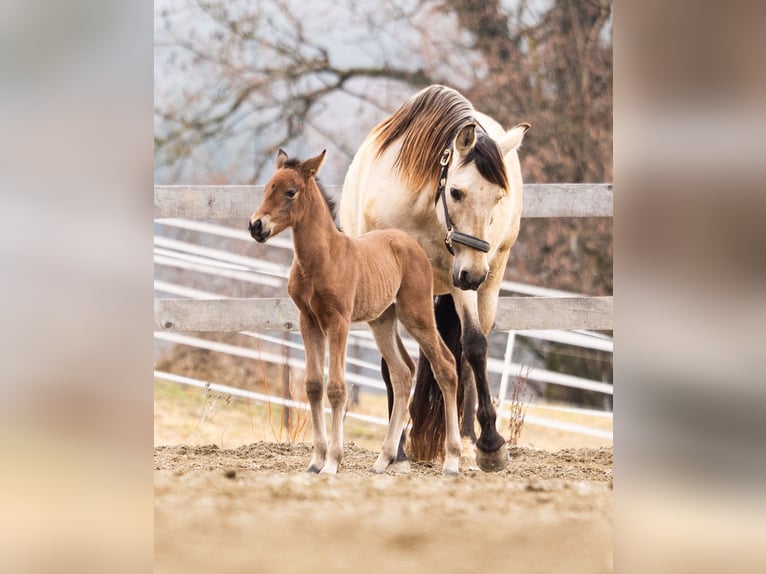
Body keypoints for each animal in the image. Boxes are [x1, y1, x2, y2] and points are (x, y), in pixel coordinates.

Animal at [248, 149, 463, 475]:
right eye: (266, 189)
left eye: (290, 192)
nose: (256, 226)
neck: (322, 259)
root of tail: (411, 244)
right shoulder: (308, 321)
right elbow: (313, 385)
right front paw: (315, 462)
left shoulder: (338, 322)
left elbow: (337, 387)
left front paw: (332, 462)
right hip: (382, 321)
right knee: (402, 373)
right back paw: (383, 460)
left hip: (417, 314)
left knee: (446, 366)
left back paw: (451, 461)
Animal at [339, 84, 529, 472]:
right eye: (456, 191)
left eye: (498, 198)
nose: (474, 275)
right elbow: (393, 365)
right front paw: (396, 449)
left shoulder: (460, 278)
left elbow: (473, 346)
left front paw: (490, 444)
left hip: (484, 283)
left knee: (468, 354)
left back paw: (467, 438)